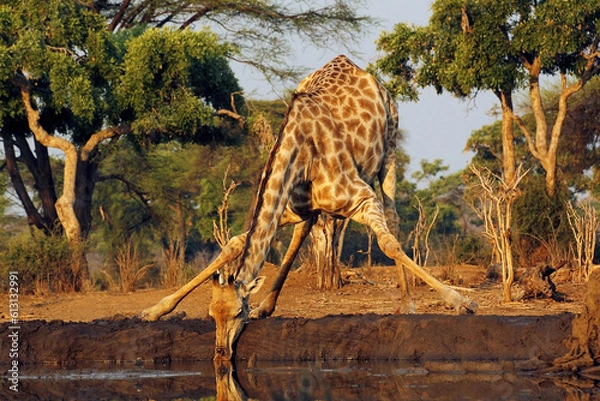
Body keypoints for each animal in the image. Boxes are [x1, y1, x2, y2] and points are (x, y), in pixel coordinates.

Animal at [142, 55, 478, 360]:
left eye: (238, 312)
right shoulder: (290, 207)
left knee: (393, 219)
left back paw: (407, 302)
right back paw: (267, 306)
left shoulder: (362, 198)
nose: (221, 352)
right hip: (312, 206)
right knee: (304, 231)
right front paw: (154, 309)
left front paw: (461, 302)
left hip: (392, 146)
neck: (301, 153)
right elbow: (234, 244)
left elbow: (389, 244)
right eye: (212, 313)